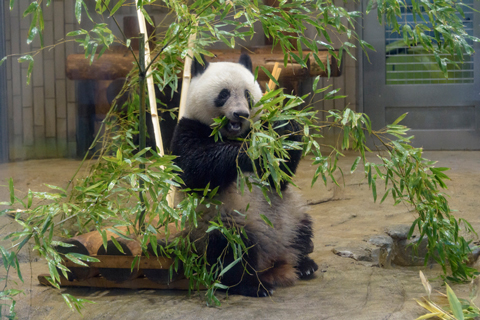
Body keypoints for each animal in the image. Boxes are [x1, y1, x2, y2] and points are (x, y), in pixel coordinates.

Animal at [170, 53, 318, 296]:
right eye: (223, 94)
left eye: (248, 94)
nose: (240, 114)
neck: (233, 135)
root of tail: (273, 260)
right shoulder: (188, 131)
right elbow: (197, 170)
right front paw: (250, 152)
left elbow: (279, 177)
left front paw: (286, 125)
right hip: (221, 223)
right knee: (231, 251)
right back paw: (253, 285)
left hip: (292, 213)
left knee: (303, 231)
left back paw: (305, 264)